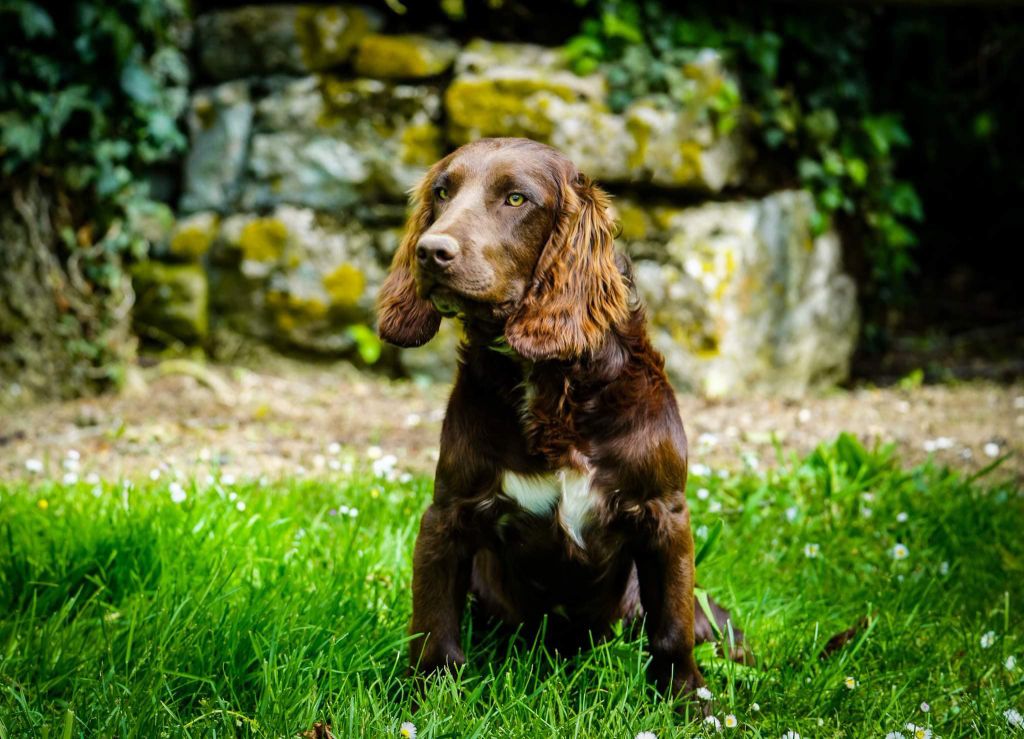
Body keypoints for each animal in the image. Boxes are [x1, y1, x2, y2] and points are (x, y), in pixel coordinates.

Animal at [376, 137, 745, 696]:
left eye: (516, 199)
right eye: (442, 192)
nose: (430, 251)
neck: (552, 388)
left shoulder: (665, 515)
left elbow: (671, 630)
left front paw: (686, 699)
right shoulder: (446, 514)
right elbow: (434, 629)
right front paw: (424, 700)